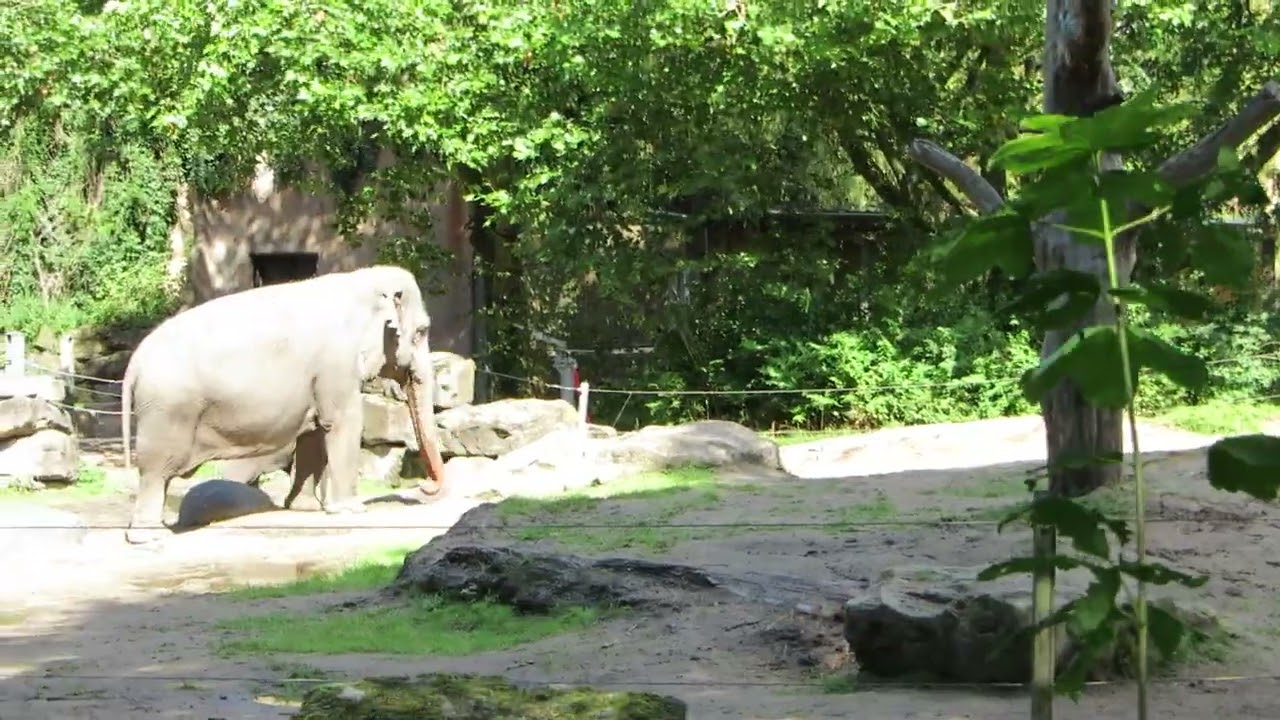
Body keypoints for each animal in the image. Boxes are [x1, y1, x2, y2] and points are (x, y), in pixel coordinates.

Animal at [120, 265, 448, 545]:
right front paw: (350, 510)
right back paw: (148, 537)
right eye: (421, 332)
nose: (424, 488)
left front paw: (305, 509)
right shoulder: (336, 363)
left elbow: (313, 432)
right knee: (157, 468)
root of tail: (133, 364)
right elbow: (344, 422)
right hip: (168, 409)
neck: (359, 282)